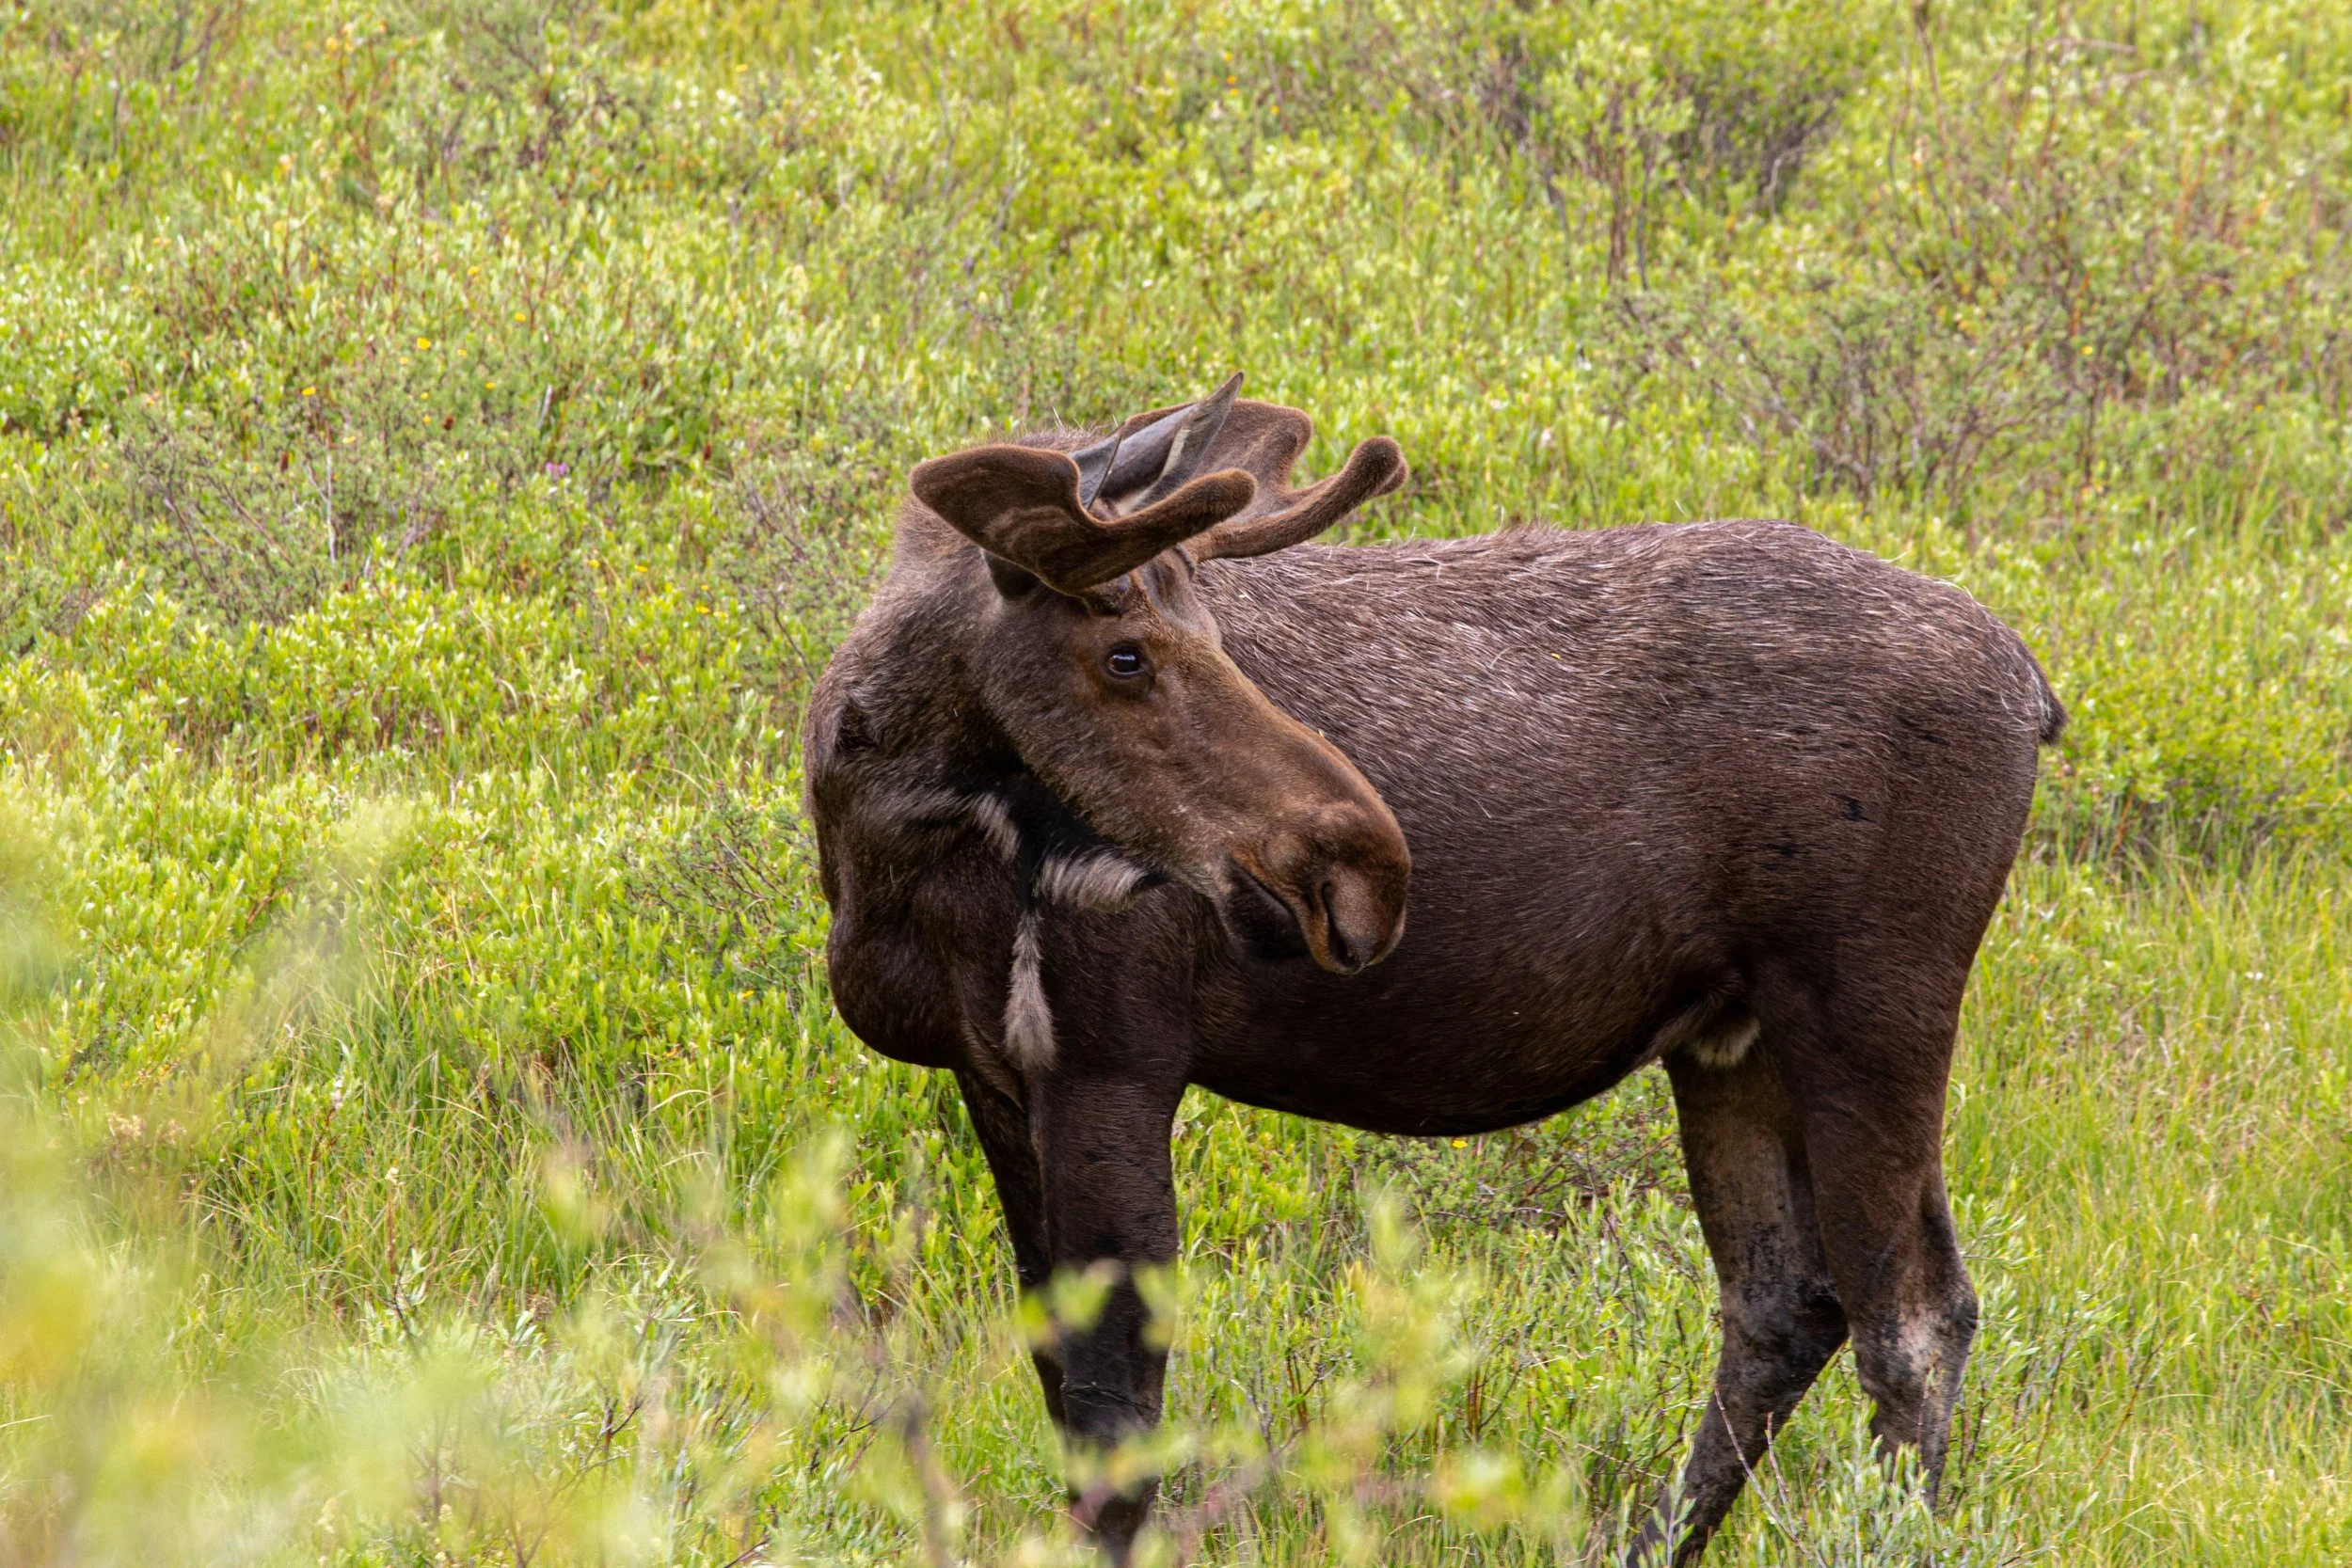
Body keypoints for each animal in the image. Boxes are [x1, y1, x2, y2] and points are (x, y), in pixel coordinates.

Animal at [803, 374, 2064, 1563]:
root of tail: (2035, 691)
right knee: (1783, 1301)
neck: (889, 847)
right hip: (1732, 1037)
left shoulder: (1116, 1058)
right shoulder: (988, 1069)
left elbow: (1118, 1416)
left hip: (1872, 1008)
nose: (1362, 859)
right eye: (1125, 652)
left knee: (1912, 1313)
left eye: (1213, 634)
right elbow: (1065, 1391)